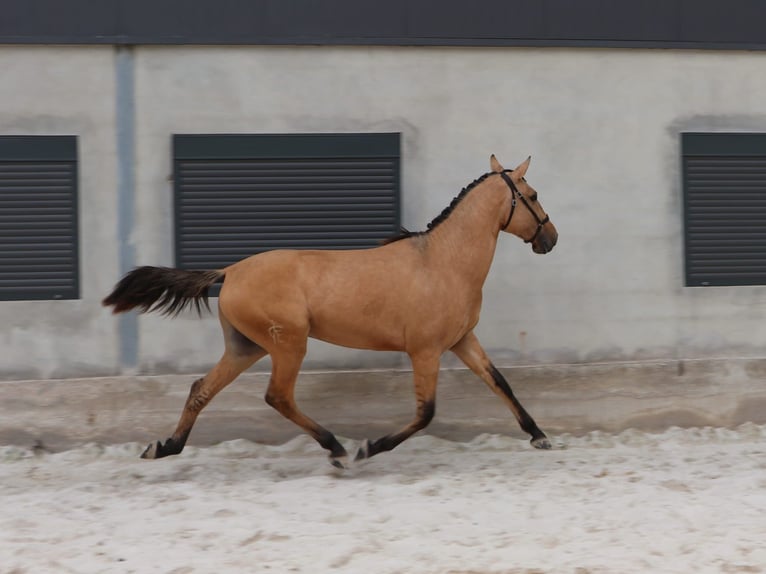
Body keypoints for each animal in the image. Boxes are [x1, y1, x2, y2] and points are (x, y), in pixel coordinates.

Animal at [102, 155, 560, 470]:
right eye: (533, 196)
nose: (551, 239)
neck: (442, 262)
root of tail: (230, 271)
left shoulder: (462, 340)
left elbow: (500, 382)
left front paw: (539, 436)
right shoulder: (426, 350)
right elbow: (425, 413)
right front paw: (369, 448)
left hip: (246, 346)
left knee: (202, 388)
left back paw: (163, 447)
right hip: (288, 343)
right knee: (278, 396)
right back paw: (337, 448)